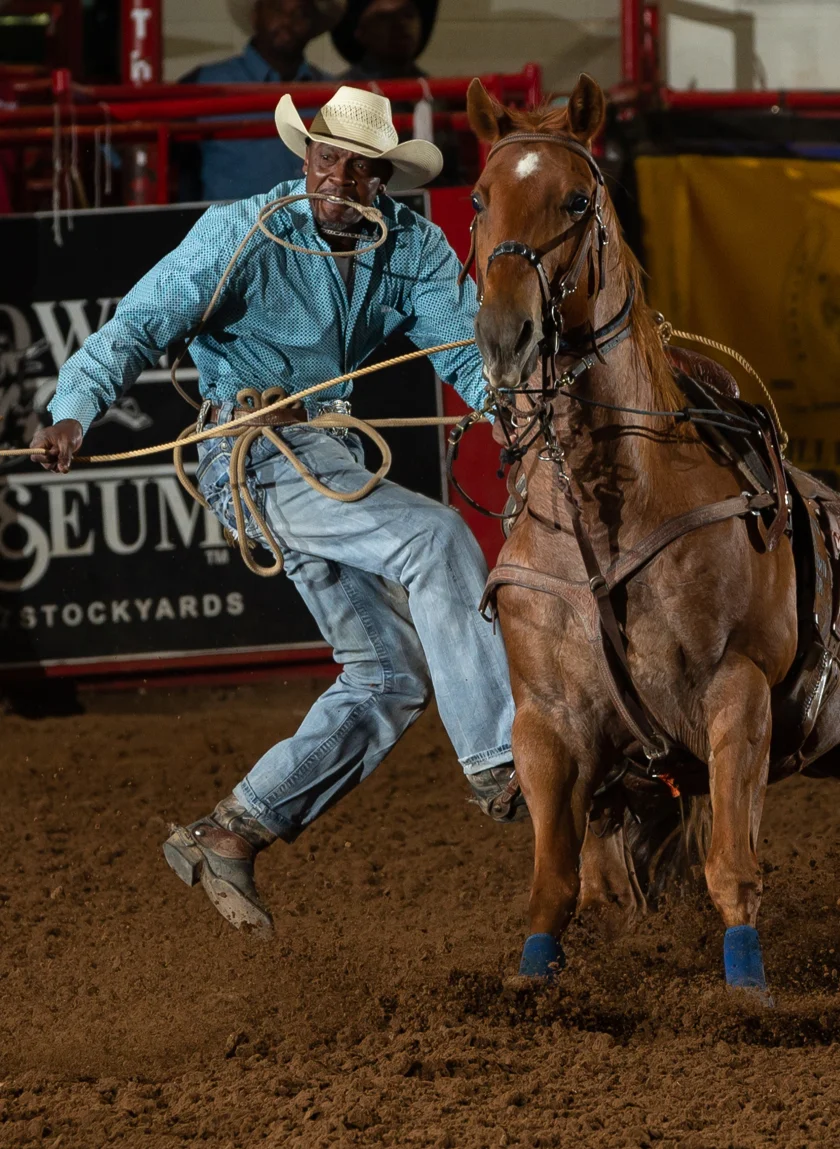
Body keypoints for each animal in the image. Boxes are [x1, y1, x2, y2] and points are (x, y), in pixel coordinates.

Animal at [466, 76, 840, 1001]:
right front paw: (530, 989)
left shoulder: (737, 691)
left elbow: (731, 867)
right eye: (480, 198)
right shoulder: (548, 722)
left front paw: (749, 999)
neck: (605, 519)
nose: (504, 335)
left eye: (576, 200)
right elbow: (556, 883)